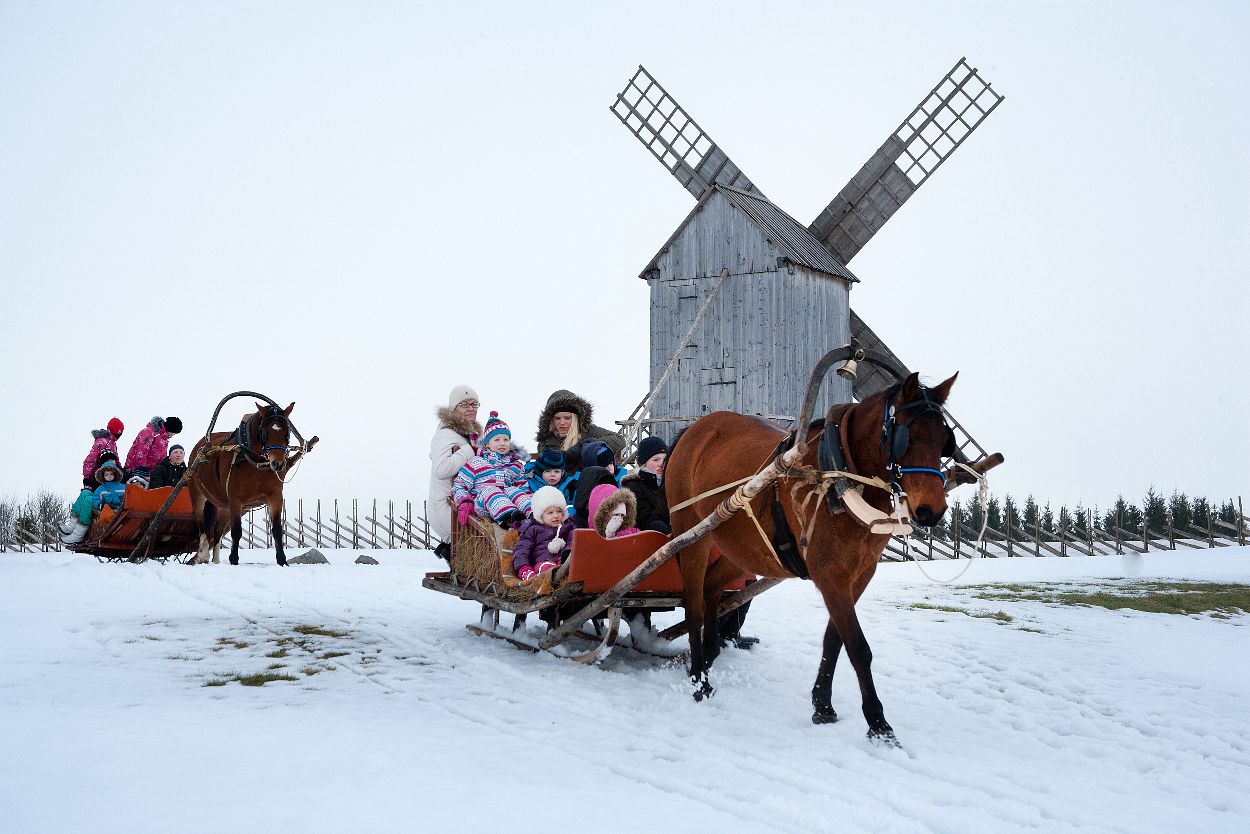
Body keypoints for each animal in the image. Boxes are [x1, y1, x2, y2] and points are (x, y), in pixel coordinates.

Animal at [186, 400, 312, 567]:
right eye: (265, 432)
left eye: (287, 432)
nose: (278, 464)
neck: (256, 463)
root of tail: (201, 445)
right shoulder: (236, 500)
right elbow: (236, 531)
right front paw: (234, 559)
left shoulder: (275, 497)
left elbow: (277, 530)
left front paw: (282, 560)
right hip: (198, 494)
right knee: (201, 524)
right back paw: (202, 553)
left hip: (225, 506)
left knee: (218, 531)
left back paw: (216, 560)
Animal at [675, 372, 955, 745]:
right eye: (907, 438)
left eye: (944, 441)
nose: (931, 511)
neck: (840, 476)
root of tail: (693, 429)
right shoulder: (830, 574)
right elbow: (858, 646)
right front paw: (878, 723)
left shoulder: (860, 574)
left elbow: (834, 639)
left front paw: (822, 704)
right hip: (692, 535)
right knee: (692, 602)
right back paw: (699, 679)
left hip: (742, 551)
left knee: (711, 588)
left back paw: (709, 654)